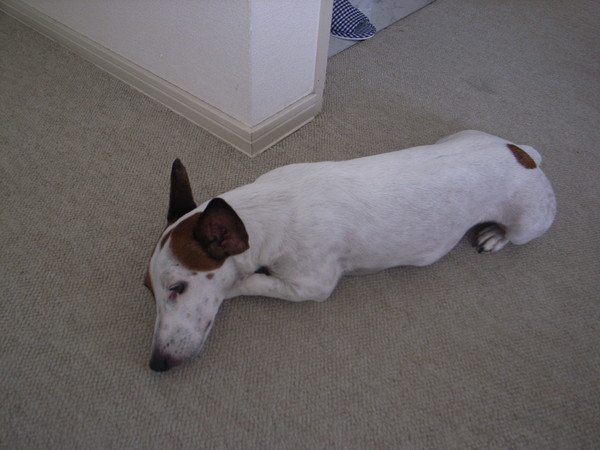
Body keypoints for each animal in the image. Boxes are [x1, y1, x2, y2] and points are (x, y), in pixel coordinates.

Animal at [144, 130, 556, 371]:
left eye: (178, 288)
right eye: (148, 290)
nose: (155, 364)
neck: (269, 208)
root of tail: (524, 155)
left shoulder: (310, 286)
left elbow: (247, 283)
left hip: (529, 223)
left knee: (514, 233)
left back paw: (494, 235)